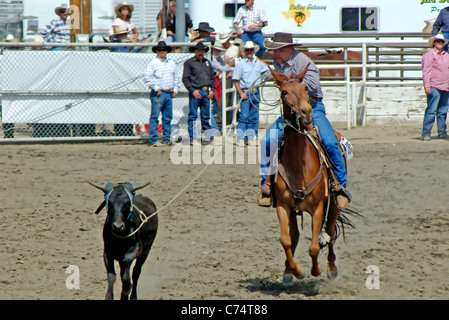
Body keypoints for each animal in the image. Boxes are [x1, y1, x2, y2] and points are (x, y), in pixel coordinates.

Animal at [270, 64, 344, 282]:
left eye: (305, 88)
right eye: (284, 92)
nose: (306, 113)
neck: (298, 166)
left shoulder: (319, 207)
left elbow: (313, 247)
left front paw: (316, 270)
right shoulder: (283, 205)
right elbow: (285, 239)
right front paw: (296, 271)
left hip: (334, 204)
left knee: (330, 231)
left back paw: (331, 268)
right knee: (294, 235)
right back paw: (288, 270)